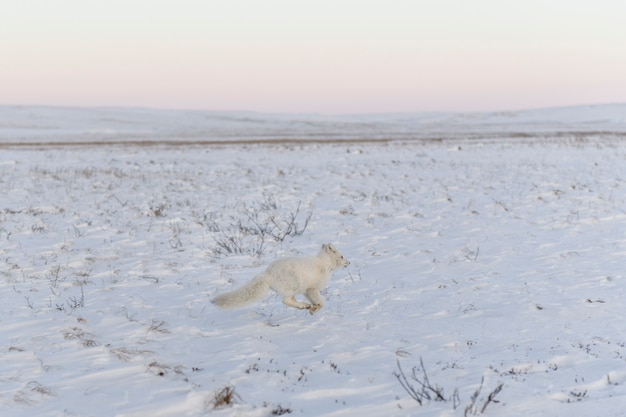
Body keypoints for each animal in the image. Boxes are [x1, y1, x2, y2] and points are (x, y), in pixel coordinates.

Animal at [212, 242, 348, 314]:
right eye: (342, 257)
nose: (349, 262)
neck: (324, 264)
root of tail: (268, 273)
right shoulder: (311, 288)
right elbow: (321, 302)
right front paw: (314, 309)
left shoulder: (307, 291)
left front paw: (313, 307)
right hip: (293, 285)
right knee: (285, 301)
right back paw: (304, 306)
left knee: (290, 300)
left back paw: (304, 306)